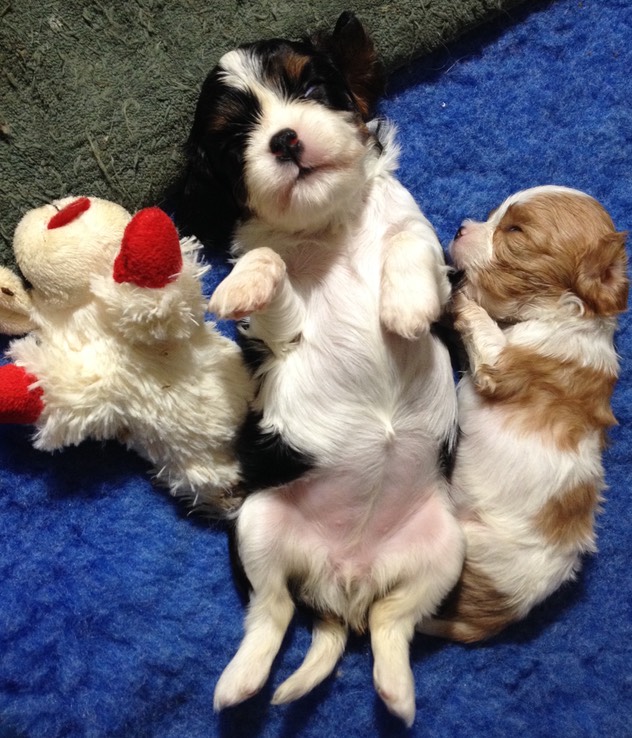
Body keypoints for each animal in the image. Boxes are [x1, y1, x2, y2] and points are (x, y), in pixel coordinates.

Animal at [175, 12, 462, 724]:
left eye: (312, 90)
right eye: (235, 142)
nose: (283, 139)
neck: (329, 225)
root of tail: (344, 586)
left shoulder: (425, 242)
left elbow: (409, 241)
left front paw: (405, 309)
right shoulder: (281, 338)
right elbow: (269, 266)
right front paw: (242, 285)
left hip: (446, 549)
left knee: (393, 622)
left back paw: (397, 691)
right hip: (257, 525)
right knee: (273, 611)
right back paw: (242, 682)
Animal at [418, 187, 628, 640]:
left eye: (514, 231)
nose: (460, 228)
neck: (565, 316)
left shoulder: (502, 364)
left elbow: (477, 316)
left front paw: (457, 289)